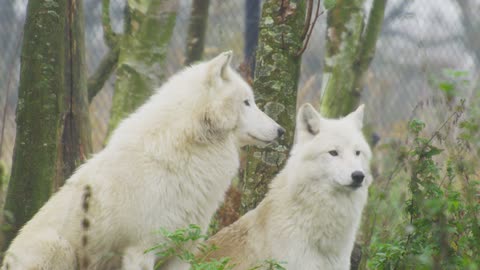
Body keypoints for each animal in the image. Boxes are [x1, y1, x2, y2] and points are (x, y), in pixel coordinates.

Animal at [1, 51, 284, 270]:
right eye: (247, 102)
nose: (281, 130)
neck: (185, 153)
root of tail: (5, 259)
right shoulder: (141, 252)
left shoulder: (181, 252)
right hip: (59, 248)